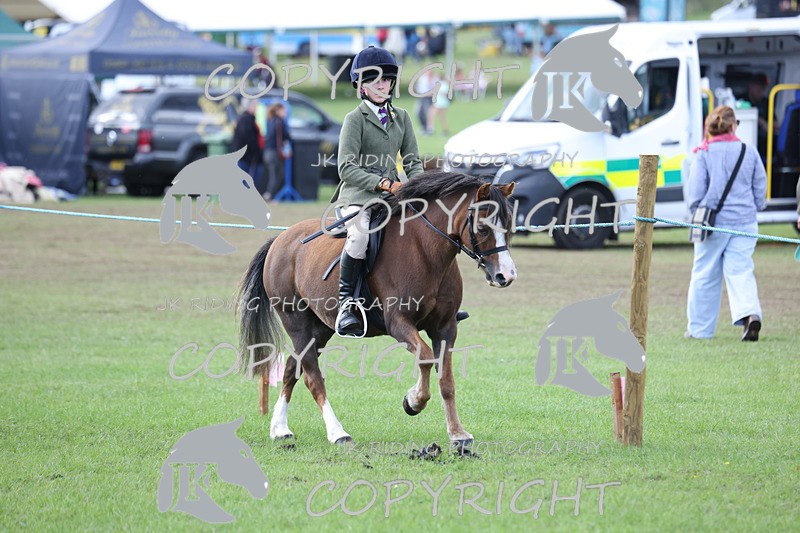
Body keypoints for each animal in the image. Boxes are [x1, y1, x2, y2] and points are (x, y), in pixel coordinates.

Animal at [236, 171, 517, 449]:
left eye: (510, 228)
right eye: (482, 227)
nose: (506, 276)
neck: (425, 251)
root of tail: (280, 240)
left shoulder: (445, 327)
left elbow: (446, 381)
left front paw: (458, 434)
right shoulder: (399, 323)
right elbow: (426, 358)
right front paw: (413, 401)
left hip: (320, 328)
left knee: (292, 369)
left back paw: (280, 428)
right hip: (297, 323)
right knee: (312, 377)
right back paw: (337, 433)